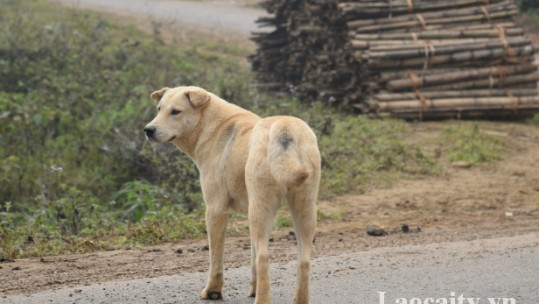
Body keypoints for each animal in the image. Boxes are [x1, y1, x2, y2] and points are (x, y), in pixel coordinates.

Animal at [143, 86, 320, 304]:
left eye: (175, 112)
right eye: (159, 109)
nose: (148, 130)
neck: (211, 126)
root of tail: (284, 129)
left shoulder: (215, 210)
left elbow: (216, 259)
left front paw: (213, 291)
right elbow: (252, 258)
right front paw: (252, 288)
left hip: (261, 208)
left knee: (264, 257)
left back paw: (262, 300)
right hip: (302, 209)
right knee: (303, 260)